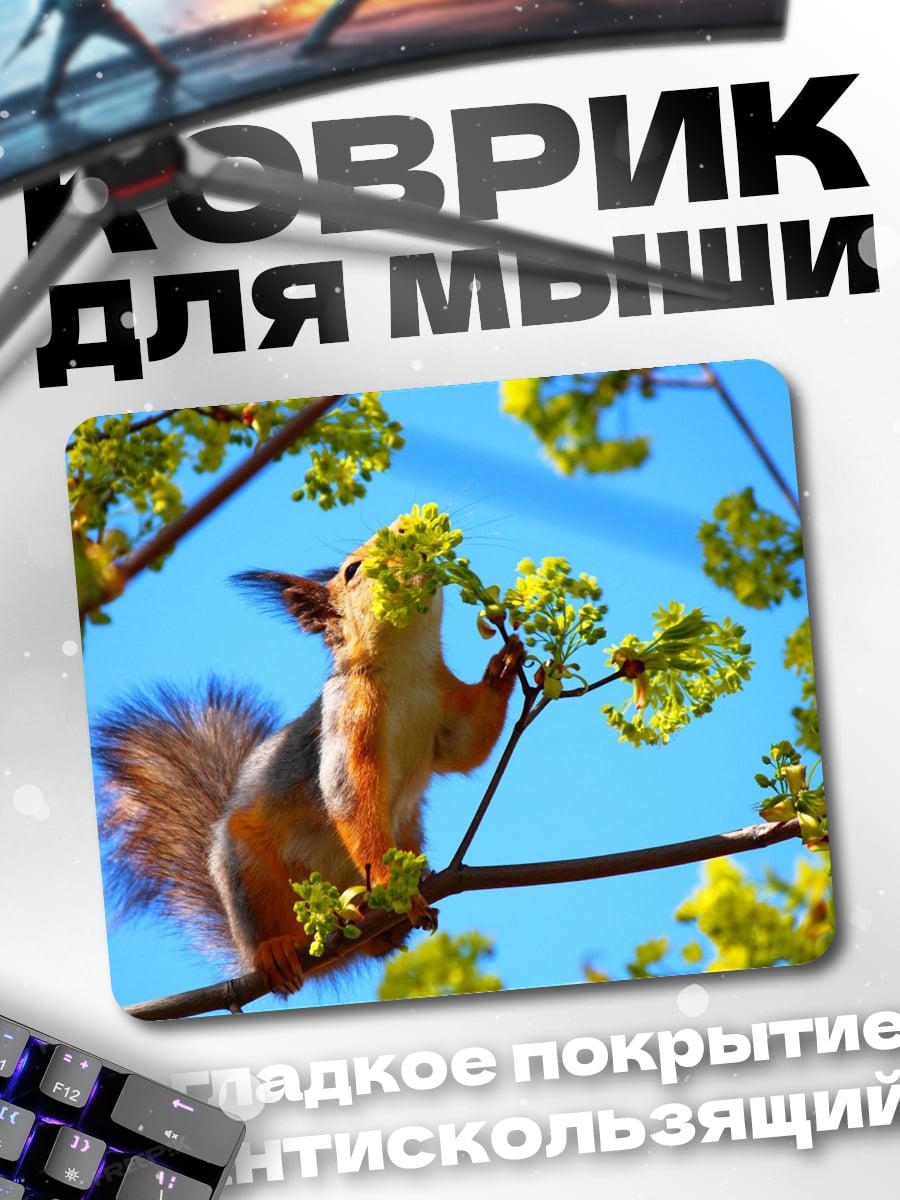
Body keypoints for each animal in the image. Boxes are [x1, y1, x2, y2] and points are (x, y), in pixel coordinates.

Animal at [97, 517, 524, 996]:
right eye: (353, 570)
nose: (408, 532)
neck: (404, 666)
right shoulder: (347, 718)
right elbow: (349, 795)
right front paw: (394, 884)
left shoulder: (444, 711)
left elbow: (468, 747)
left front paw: (505, 664)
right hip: (248, 870)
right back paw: (278, 950)